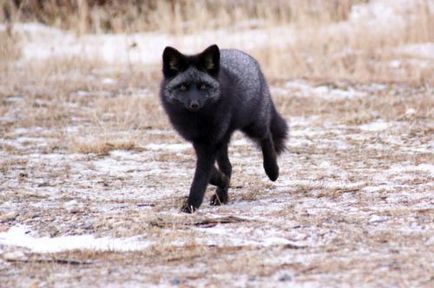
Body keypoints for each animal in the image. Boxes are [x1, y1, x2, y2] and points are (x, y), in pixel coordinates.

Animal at [159, 44, 288, 213]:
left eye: (203, 86)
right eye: (183, 87)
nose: (194, 104)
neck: (197, 121)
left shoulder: (209, 142)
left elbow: (200, 176)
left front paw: (191, 205)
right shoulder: (199, 141)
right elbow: (211, 171)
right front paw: (221, 181)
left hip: (253, 125)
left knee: (266, 136)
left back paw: (272, 170)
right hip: (224, 138)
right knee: (228, 166)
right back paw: (221, 195)